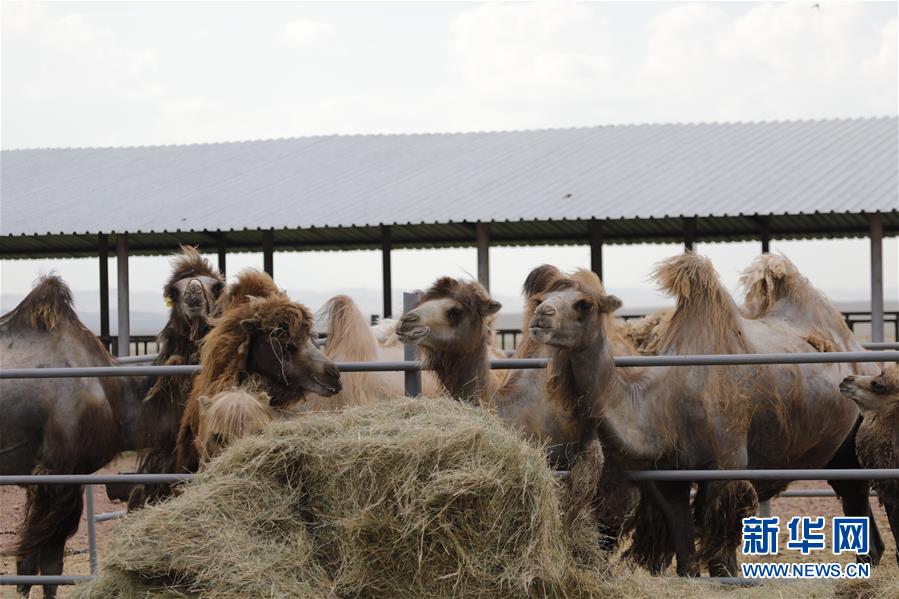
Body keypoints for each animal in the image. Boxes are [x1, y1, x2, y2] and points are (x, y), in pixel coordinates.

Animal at [532, 254, 884, 576]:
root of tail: (862, 354)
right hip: (838, 453)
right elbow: (686, 552)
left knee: (856, 492)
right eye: (542, 297)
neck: (666, 404)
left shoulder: (727, 464)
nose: (540, 315)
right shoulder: (665, 477)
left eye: (584, 304)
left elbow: (720, 558)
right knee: (853, 495)